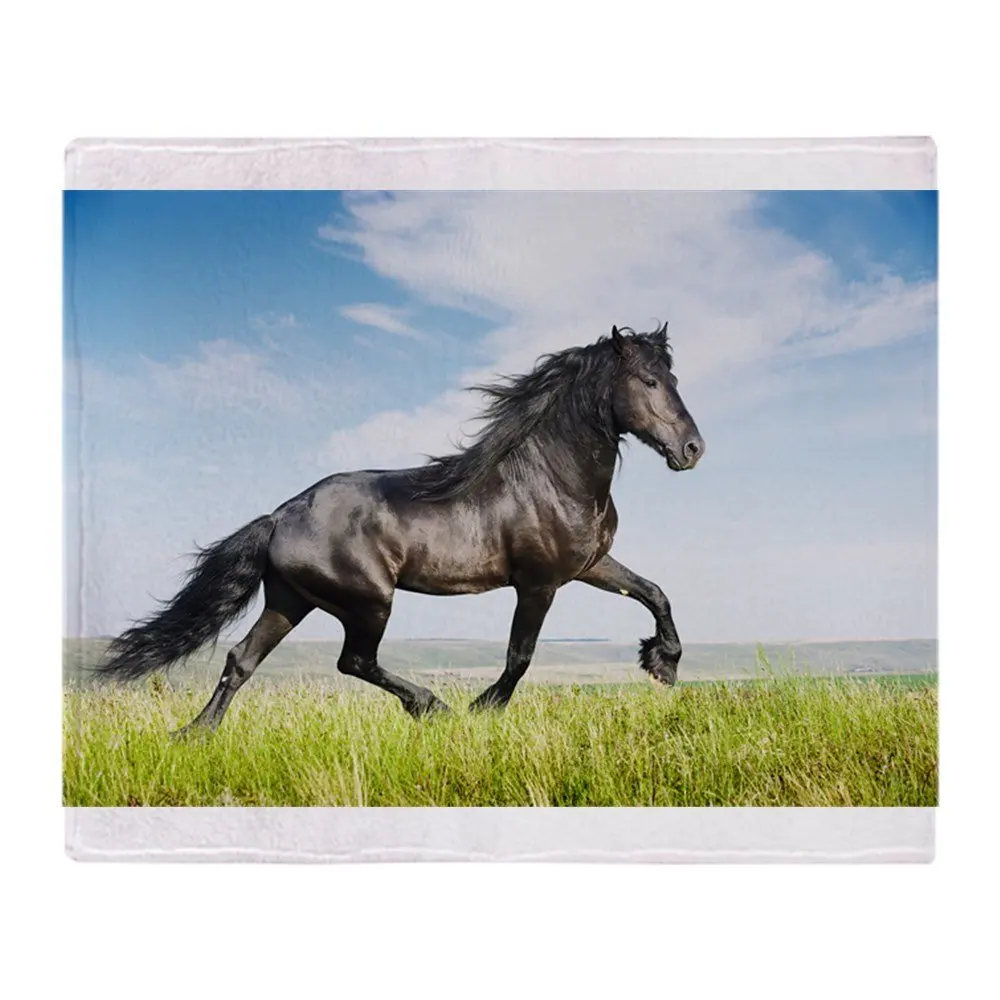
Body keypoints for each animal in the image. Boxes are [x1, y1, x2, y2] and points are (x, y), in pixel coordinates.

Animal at [97, 322, 705, 732]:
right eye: (649, 381)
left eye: (673, 377)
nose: (692, 449)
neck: (551, 477)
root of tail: (280, 516)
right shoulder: (539, 583)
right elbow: (520, 656)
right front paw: (483, 709)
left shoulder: (589, 565)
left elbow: (655, 592)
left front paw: (663, 664)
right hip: (368, 601)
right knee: (354, 661)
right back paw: (432, 707)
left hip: (290, 600)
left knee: (241, 659)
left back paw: (194, 735)